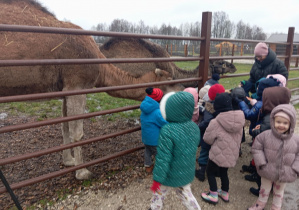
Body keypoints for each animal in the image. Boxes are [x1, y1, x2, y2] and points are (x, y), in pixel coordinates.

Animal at [0, 0, 178, 180]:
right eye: (170, 82)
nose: (181, 92)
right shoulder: (77, 85)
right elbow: (77, 132)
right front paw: (82, 172)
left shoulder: (65, 89)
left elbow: (64, 126)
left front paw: (69, 161)